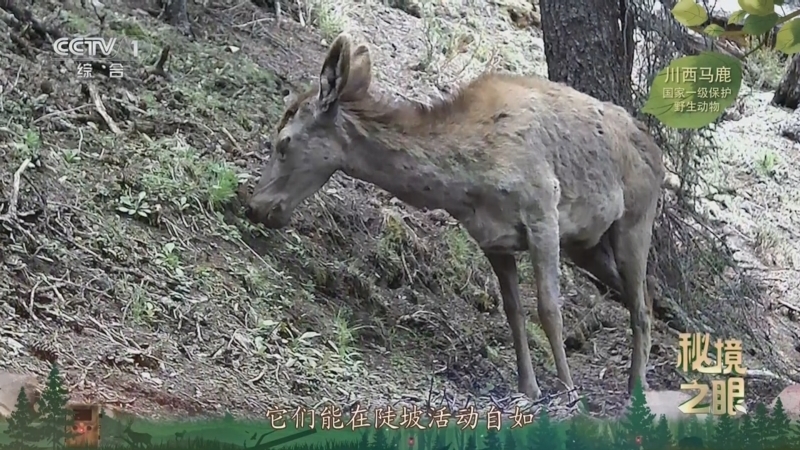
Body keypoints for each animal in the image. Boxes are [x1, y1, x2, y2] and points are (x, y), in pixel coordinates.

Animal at [244, 33, 665, 401]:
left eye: (283, 142)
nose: (255, 205)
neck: (467, 184)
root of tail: (656, 149)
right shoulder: (494, 240)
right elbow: (513, 313)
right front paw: (529, 388)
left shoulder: (542, 212)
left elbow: (549, 309)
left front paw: (569, 391)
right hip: (586, 244)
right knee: (642, 293)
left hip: (635, 218)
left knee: (640, 299)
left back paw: (638, 387)